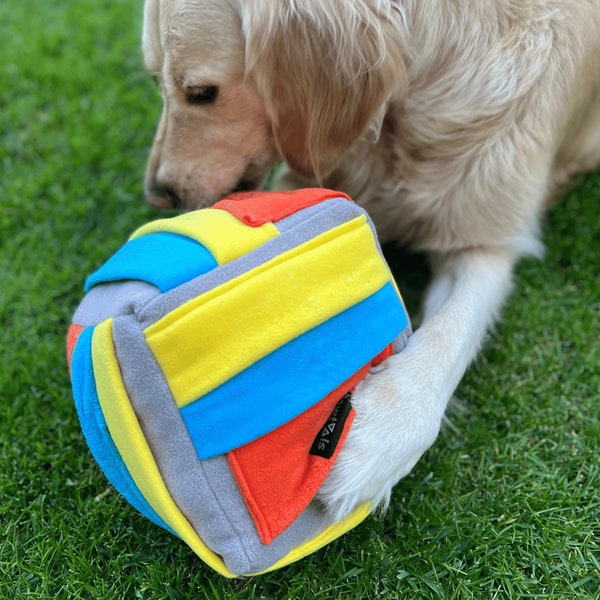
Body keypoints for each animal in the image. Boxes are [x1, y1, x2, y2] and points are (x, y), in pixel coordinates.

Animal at [143, 0, 600, 516]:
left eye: (201, 93)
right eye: (156, 80)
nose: (158, 194)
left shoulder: (484, 239)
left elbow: (452, 331)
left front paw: (375, 439)